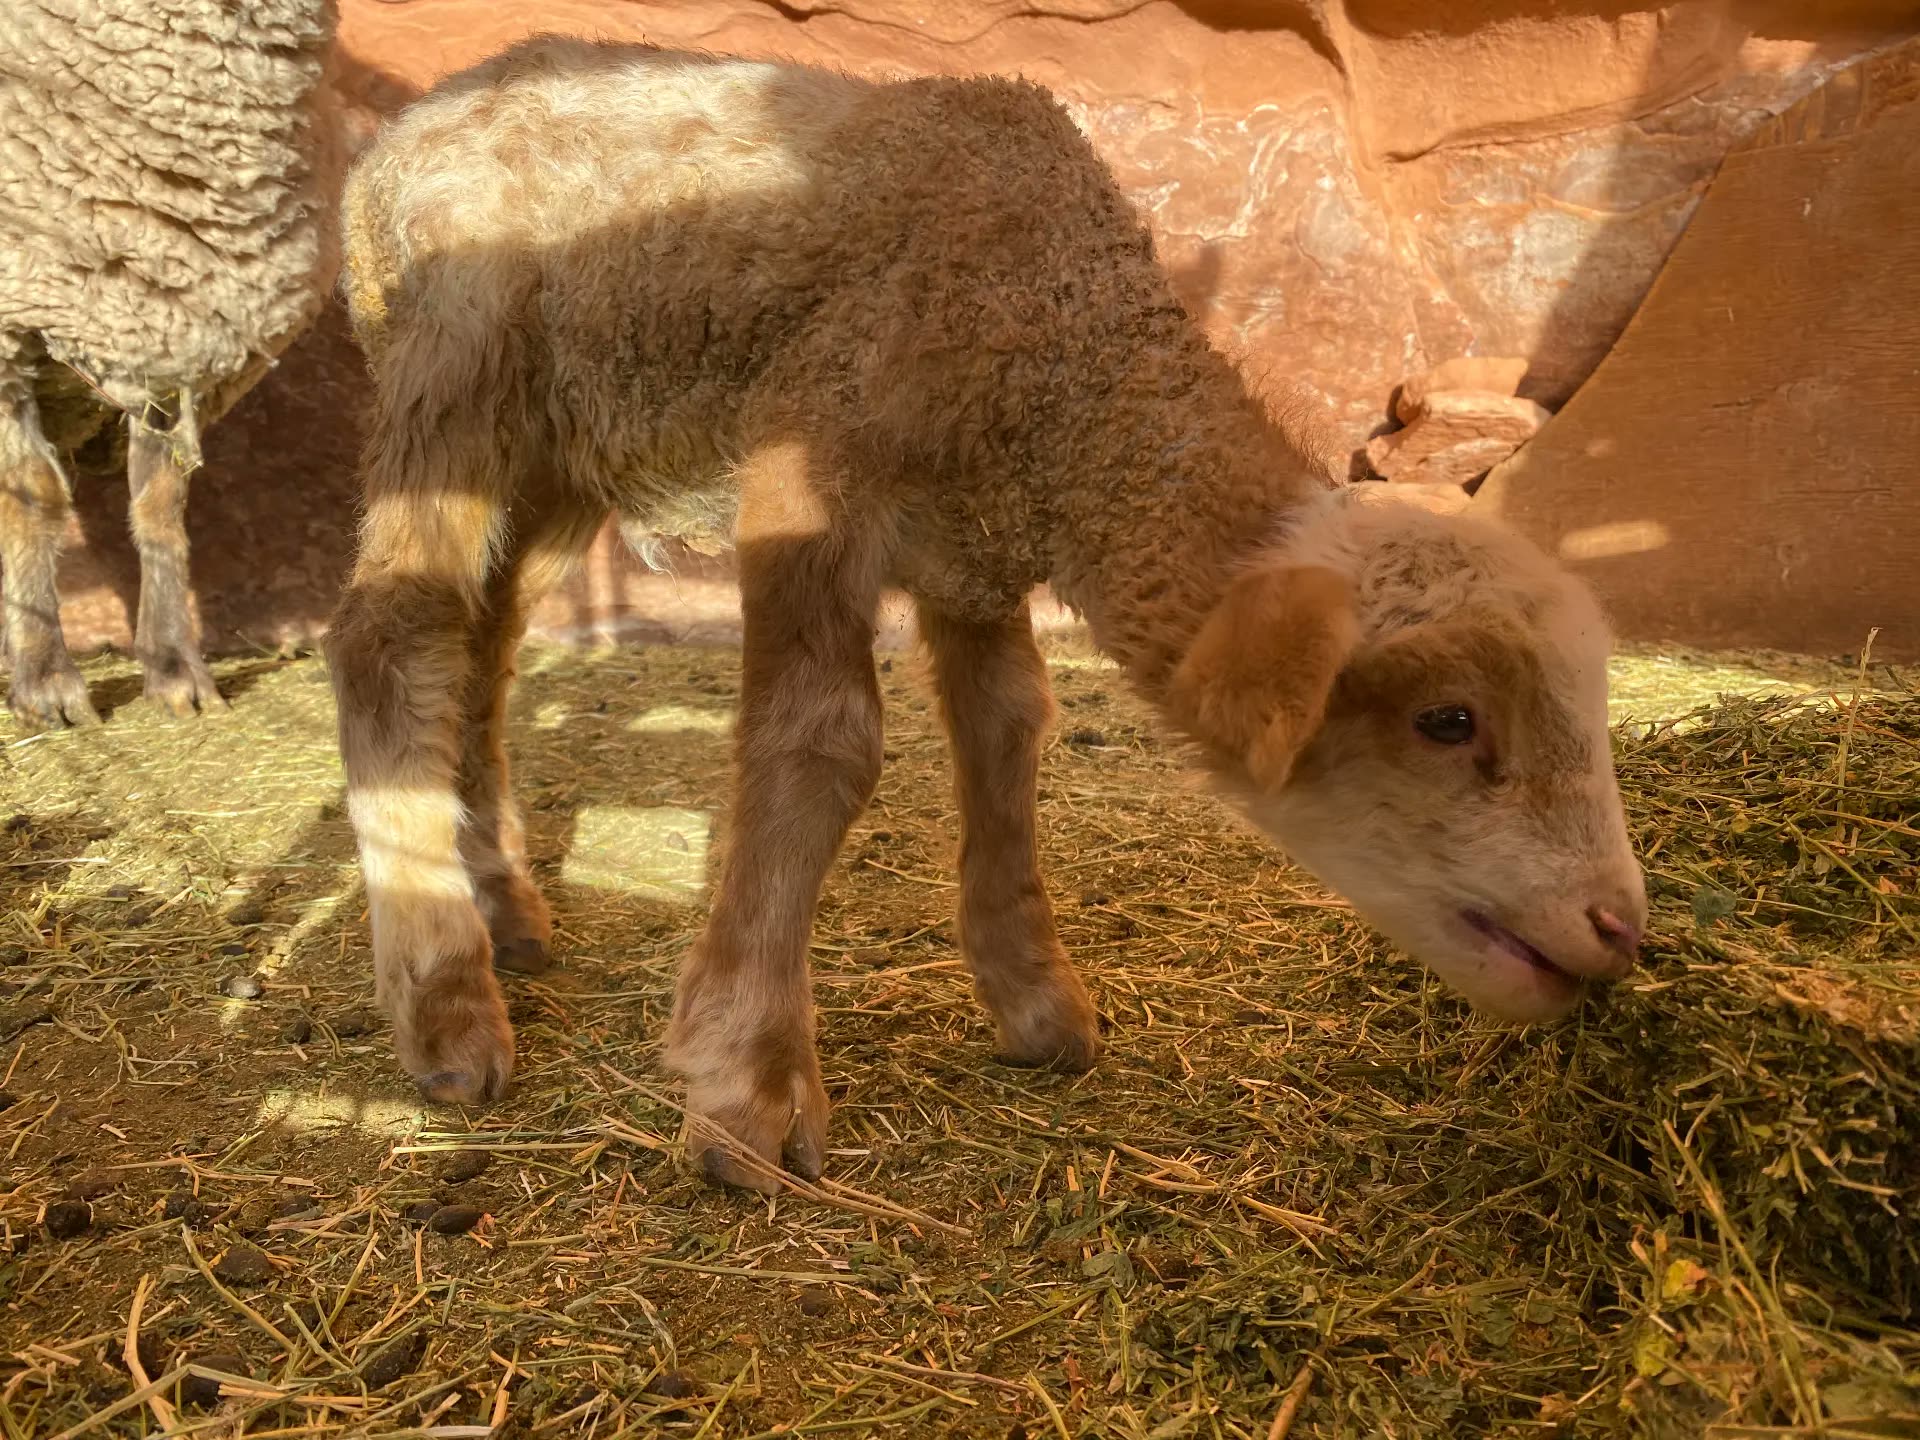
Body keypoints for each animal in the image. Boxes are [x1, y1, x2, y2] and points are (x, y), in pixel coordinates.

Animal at [0, 0, 342, 729]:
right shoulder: (10, 327)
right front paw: (46, 680)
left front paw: (174, 668)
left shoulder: (168, 332)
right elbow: (33, 496)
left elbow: (161, 502)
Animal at [327, 37, 1649, 1190]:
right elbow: (821, 747)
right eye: (1448, 720)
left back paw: (505, 910)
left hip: (563, 451)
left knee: (484, 648)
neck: (1066, 352)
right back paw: (448, 1008)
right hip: (455, 373)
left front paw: (1035, 1000)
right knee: (390, 637)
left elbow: (1009, 730)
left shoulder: (974, 549)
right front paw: (748, 1084)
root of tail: (391, 144)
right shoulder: (812, 465)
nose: (1620, 929)